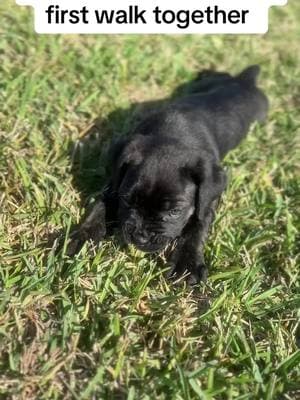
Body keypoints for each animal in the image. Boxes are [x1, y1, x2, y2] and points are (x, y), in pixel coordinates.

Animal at [67, 65, 268, 284]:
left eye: (174, 212)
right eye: (127, 201)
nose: (140, 237)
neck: (175, 134)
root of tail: (244, 81)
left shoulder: (208, 200)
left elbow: (197, 226)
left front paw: (187, 265)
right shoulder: (115, 182)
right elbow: (100, 206)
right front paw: (82, 237)